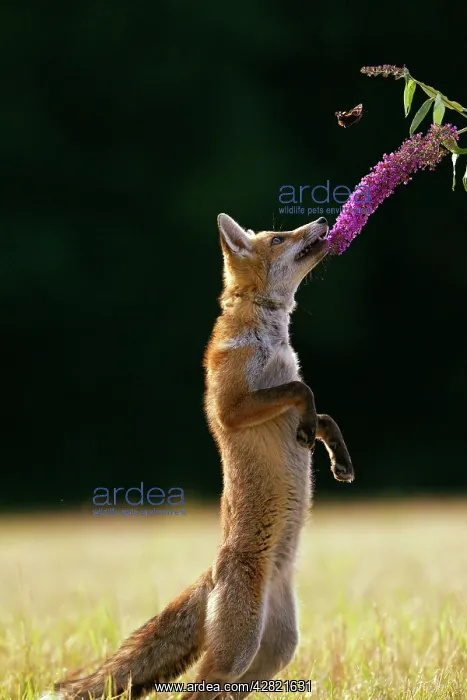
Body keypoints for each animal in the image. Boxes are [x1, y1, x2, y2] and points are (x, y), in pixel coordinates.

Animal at [38, 214, 354, 700]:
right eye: (279, 238)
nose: (321, 219)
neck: (269, 337)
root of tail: (213, 573)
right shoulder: (233, 407)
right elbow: (301, 390)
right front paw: (305, 430)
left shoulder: (286, 398)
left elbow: (325, 415)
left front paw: (340, 461)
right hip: (238, 652)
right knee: (193, 688)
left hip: (270, 656)